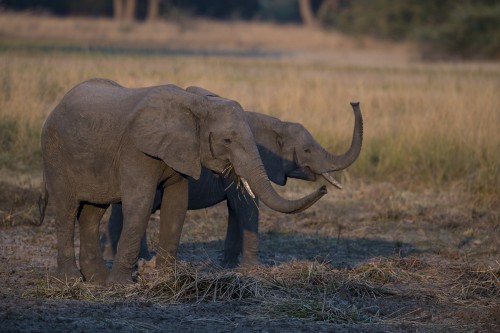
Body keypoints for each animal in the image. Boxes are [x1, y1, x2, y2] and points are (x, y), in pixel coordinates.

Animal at [40, 78, 328, 282]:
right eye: (227, 140)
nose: (324, 186)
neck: (196, 105)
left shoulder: (181, 151)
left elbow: (177, 204)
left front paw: (165, 277)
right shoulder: (137, 149)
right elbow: (141, 202)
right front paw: (122, 285)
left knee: (91, 213)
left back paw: (97, 280)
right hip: (55, 155)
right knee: (67, 210)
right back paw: (72, 280)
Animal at [106, 86, 364, 268]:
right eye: (307, 151)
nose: (354, 101)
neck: (274, 123)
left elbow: (236, 208)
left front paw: (228, 265)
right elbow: (247, 206)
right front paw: (252, 268)